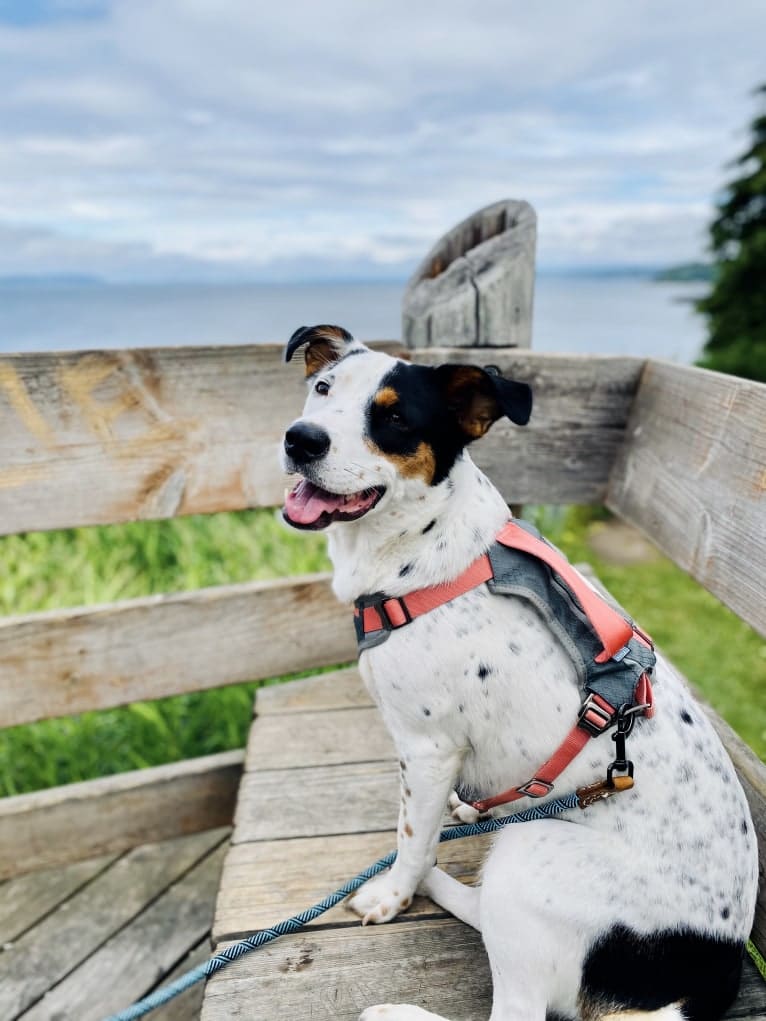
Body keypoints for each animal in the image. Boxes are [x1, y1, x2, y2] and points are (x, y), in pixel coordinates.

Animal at [279, 324, 759, 1021]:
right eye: (322, 389)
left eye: (394, 419)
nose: (300, 439)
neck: (428, 555)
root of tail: (705, 981)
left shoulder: (426, 748)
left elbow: (411, 834)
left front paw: (394, 892)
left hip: (531, 854)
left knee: (519, 1009)